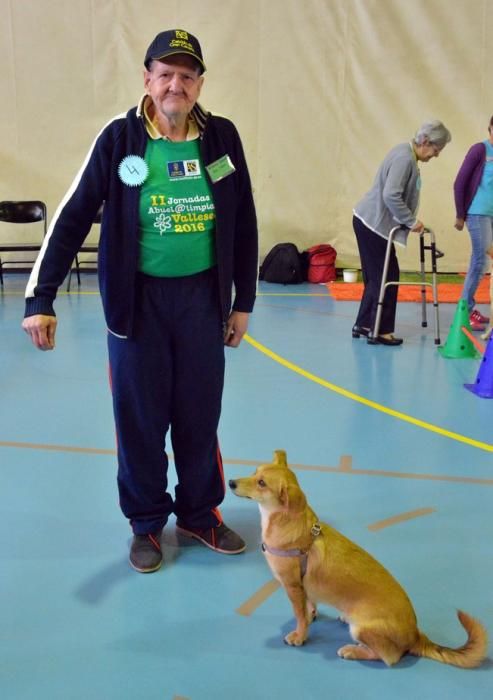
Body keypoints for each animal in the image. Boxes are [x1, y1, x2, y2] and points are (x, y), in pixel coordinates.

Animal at [229, 448, 486, 668]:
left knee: (389, 657)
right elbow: (309, 606)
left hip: (361, 630)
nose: (231, 483)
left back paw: (353, 651)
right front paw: (311, 615)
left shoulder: (293, 586)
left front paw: (300, 636)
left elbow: (299, 616)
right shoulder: (303, 588)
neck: (285, 521)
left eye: (262, 483)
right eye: (254, 472)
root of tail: (416, 635)